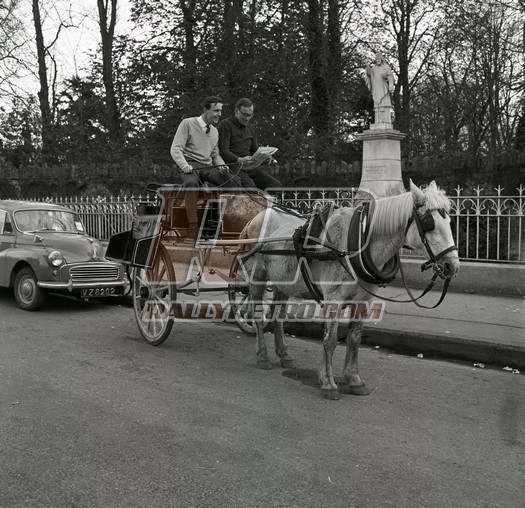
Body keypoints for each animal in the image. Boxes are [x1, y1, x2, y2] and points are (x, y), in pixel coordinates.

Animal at [238, 180, 460, 400]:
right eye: (429, 224)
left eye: (449, 222)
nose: (452, 266)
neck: (357, 243)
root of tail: (255, 219)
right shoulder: (333, 299)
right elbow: (330, 340)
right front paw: (328, 383)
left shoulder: (363, 300)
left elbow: (354, 339)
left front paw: (354, 380)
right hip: (257, 277)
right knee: (257, 316)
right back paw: (263, 356)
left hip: (284, 281)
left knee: (277, 318)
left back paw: (284, 354)